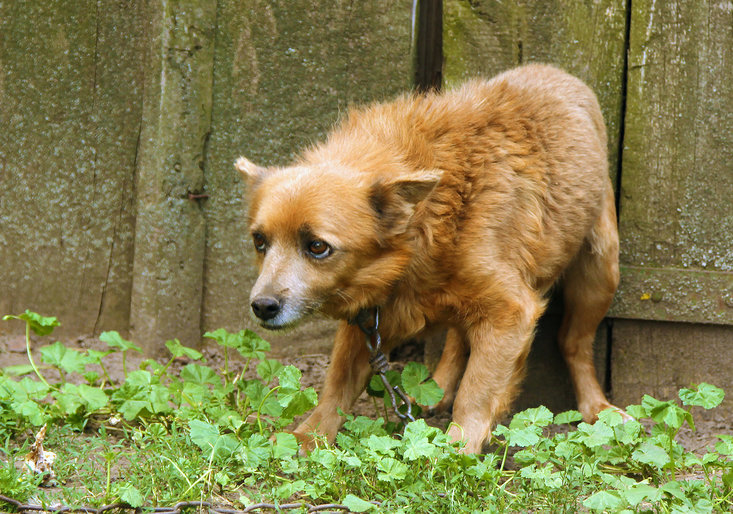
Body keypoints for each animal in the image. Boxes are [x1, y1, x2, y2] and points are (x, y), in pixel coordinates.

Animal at [236, 64, 624, 452]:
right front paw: (307, 437)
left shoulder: (512, 311)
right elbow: (336, 386)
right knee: (457, 339)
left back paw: (598, 407)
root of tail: (555, 71)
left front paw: (456, 449)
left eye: (317, 247)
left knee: (572, 343)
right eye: (259, 241)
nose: (262, 306)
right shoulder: (368, 323)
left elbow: (475, 394)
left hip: (599, 274)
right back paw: (436, 388)